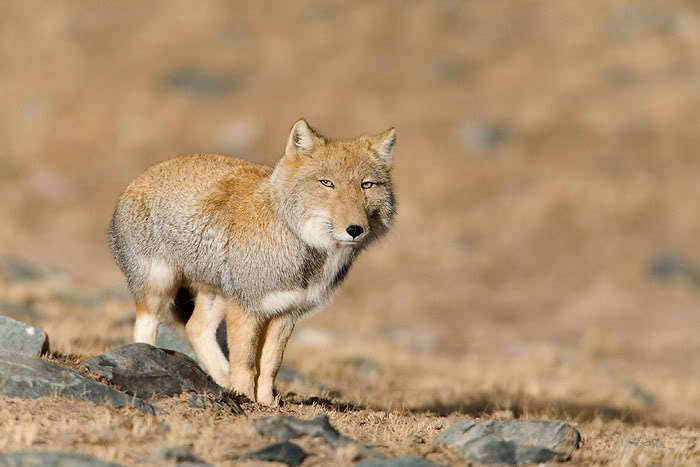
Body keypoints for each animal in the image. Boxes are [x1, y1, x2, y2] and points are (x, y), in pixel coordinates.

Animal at [107, 119, 396, 406]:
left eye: (366, 185)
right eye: (327, 183)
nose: (355, 230)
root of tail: (140, 177)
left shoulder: (285, 312)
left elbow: (269, 365)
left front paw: (266, 403)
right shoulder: (246, 308)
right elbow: (246, 364)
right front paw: (245, 398)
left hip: (216, 295)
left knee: (196, 328)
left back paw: (222, 378)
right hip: (159, 289)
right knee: (145, 329)